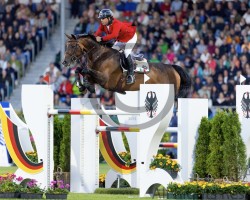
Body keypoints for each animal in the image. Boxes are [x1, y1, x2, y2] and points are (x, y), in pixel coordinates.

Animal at [61, 34, 190, 98]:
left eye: (73, 46)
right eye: (66, 45)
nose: (65, 62)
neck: (99, 55)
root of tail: (172, 68)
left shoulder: (105, 79)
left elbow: (85, 70)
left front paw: (85, 85)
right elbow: (80, 70)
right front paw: (82, 85)